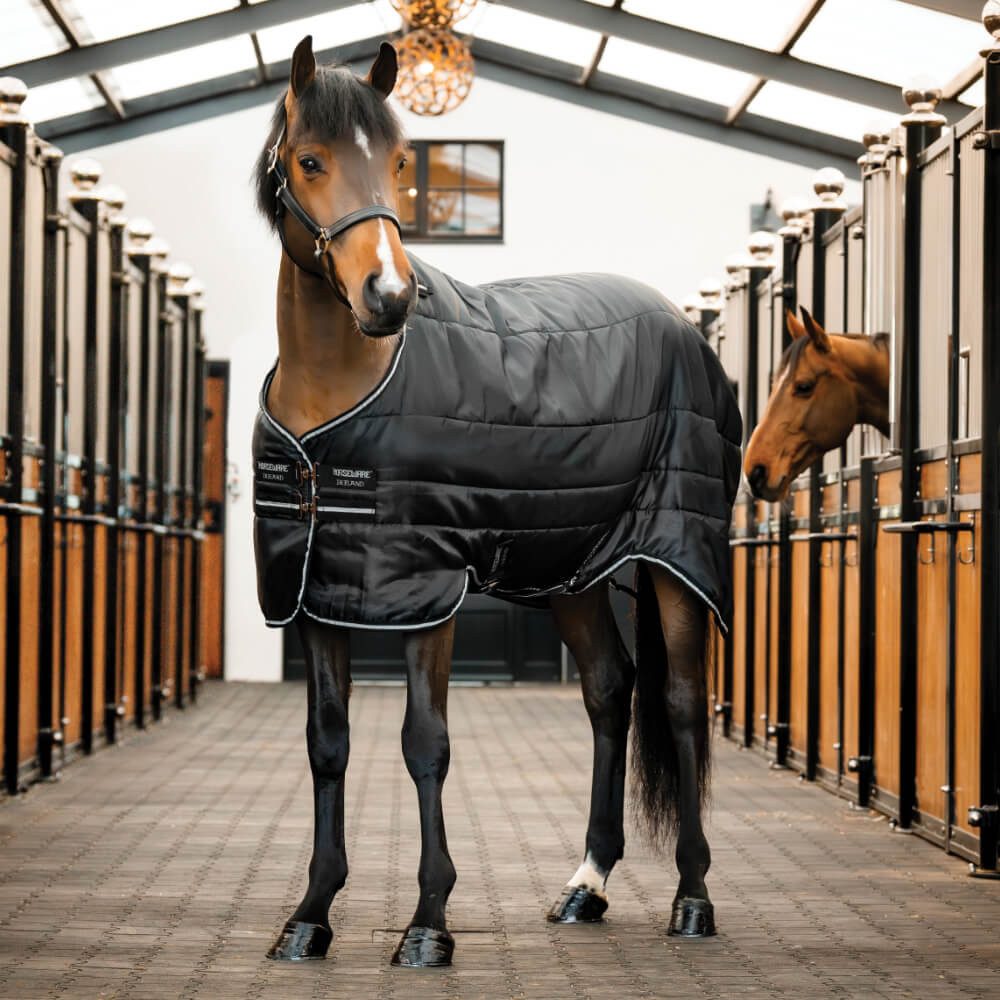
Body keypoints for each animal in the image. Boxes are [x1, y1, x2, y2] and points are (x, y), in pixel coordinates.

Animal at [251, 36, 741, 968]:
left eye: (401, 162)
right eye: (309, 160)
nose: (387, 297)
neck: (339, 397)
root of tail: (677, 319)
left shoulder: (429, 592)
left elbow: (424, 745)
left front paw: (427, 926)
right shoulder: (319, 593)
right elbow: (327, 745)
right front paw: (309, 915)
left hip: (675, 558)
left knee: (681, 704)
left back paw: (695, 899)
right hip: (575, 570)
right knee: (609, 691)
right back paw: (587, 885)